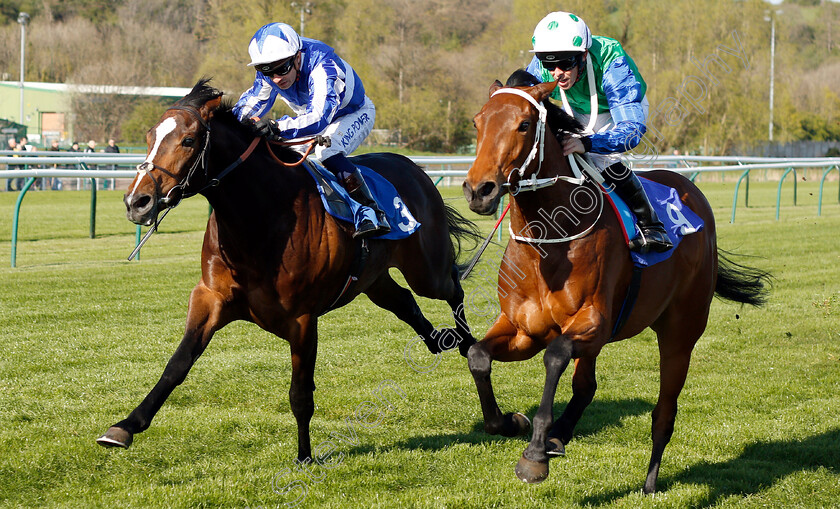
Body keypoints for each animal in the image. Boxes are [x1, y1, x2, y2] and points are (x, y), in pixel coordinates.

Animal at [97, 78, 480, 460]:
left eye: (188, 140)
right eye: (150, 136)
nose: (136, 202)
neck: (260, 218)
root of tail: (415, 169)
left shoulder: (302, 318)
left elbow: (300, 394)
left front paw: (304, 456)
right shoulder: (210, 297)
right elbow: (177, 364)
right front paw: (124, 426)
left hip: (426, 269)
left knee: (453, 287)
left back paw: (468, 343)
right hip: (373, 278)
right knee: (404, 301)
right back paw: (437, 339)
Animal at [462, 76, 772, 492]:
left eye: (524, 125)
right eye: (478, 122)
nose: (479, 190)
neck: (550, 242)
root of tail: (692, 193)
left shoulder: (594, 322)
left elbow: (555, 356)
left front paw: (535, 455)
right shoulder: (523, 329)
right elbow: (478, 356)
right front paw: (511, 422)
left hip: (681, 331)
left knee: (664, 411)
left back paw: (649, 482)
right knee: (586, 386)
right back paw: (560, 435)